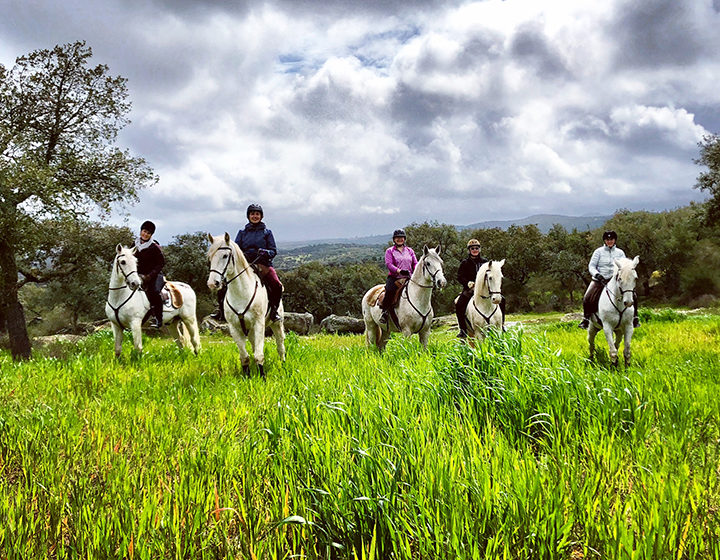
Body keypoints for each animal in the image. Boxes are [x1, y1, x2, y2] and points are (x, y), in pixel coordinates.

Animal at [205, 232, 284, 376]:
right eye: (210, 257)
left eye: (225, 256)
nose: (213, 283)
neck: (241, 292)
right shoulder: (234, 328)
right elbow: (245, 357)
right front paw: (247, 376)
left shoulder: (259, 324)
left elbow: (259, 355)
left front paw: (262, 377)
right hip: (251, 330)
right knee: (253, 346)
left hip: (277, 324)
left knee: (280, 346)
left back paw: (283, 365)